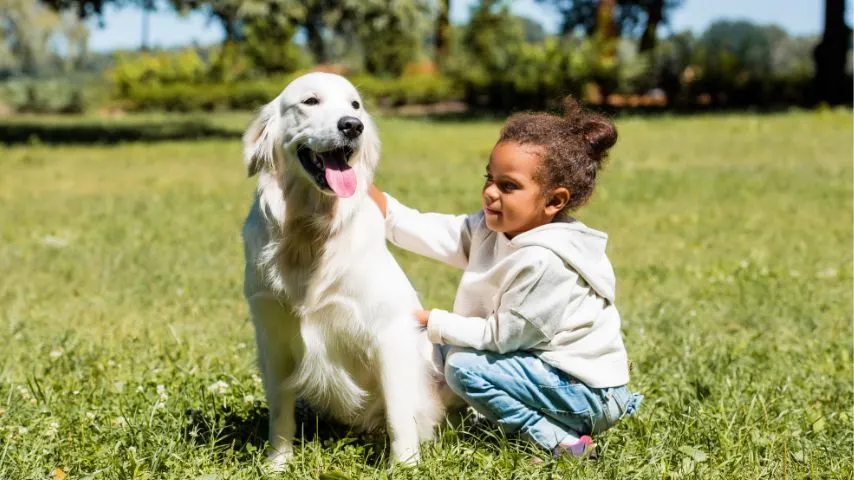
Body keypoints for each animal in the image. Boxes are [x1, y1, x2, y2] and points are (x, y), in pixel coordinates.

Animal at [239, 72, 444, 468]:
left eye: (355, 105)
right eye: (310, 101)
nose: (352, 126)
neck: (309, 233)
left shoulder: (390, 333)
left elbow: (398, 413)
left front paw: (404, 466)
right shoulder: (271, 335)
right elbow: (280, 412)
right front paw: (278, 463)